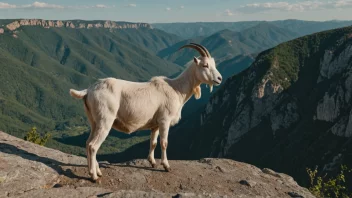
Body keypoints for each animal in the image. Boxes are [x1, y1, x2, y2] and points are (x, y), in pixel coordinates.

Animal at [69, 43, 223, 181]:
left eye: (213, 64)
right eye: (205, 65)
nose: (219, 79)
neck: (176, 89)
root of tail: (88, 90)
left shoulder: (155, 124)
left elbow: (153, 142)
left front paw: (152, 162)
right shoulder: (164, 120)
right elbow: (164, 142)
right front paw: (166, 166)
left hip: (94, 121)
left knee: (87, 143)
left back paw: (98, 171)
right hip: (105, 120)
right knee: (93, 146)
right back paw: (94, 176)